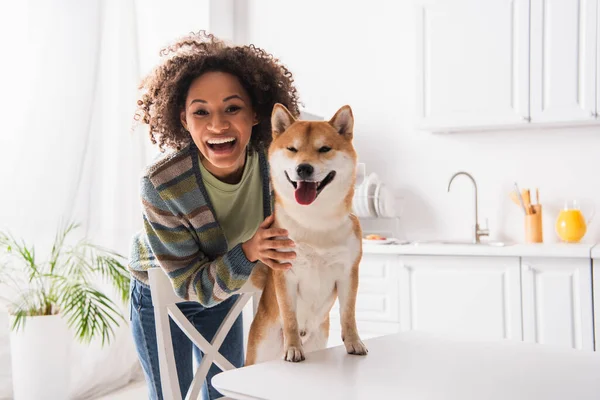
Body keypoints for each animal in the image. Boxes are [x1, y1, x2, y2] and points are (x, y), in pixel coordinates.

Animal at [243, 104, 366, 366]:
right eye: (292, 149)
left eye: (324, 149)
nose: (304, 168)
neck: (315, 220)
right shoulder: (285, 274)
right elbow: (290, 317)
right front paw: (292, 349)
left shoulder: (348, 273)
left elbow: (348, 313)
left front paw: (353, 343)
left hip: (319, 340)